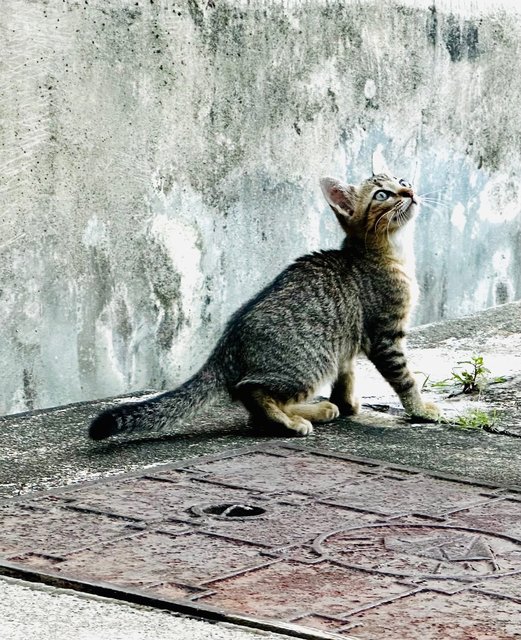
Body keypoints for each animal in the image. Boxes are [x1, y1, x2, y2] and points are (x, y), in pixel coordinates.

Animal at [89, 165, 438, 440]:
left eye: (401, 179)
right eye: (382, 195)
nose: (409, 190)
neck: (391, 253)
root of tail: (225, 347)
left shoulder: (347, 341)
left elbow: (347, 374)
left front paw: (348, 403)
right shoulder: (385, 335)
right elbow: (405, 378)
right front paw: (421, 409)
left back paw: (316, 410)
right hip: (311, 361)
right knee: (252, 393)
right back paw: (291, 421)